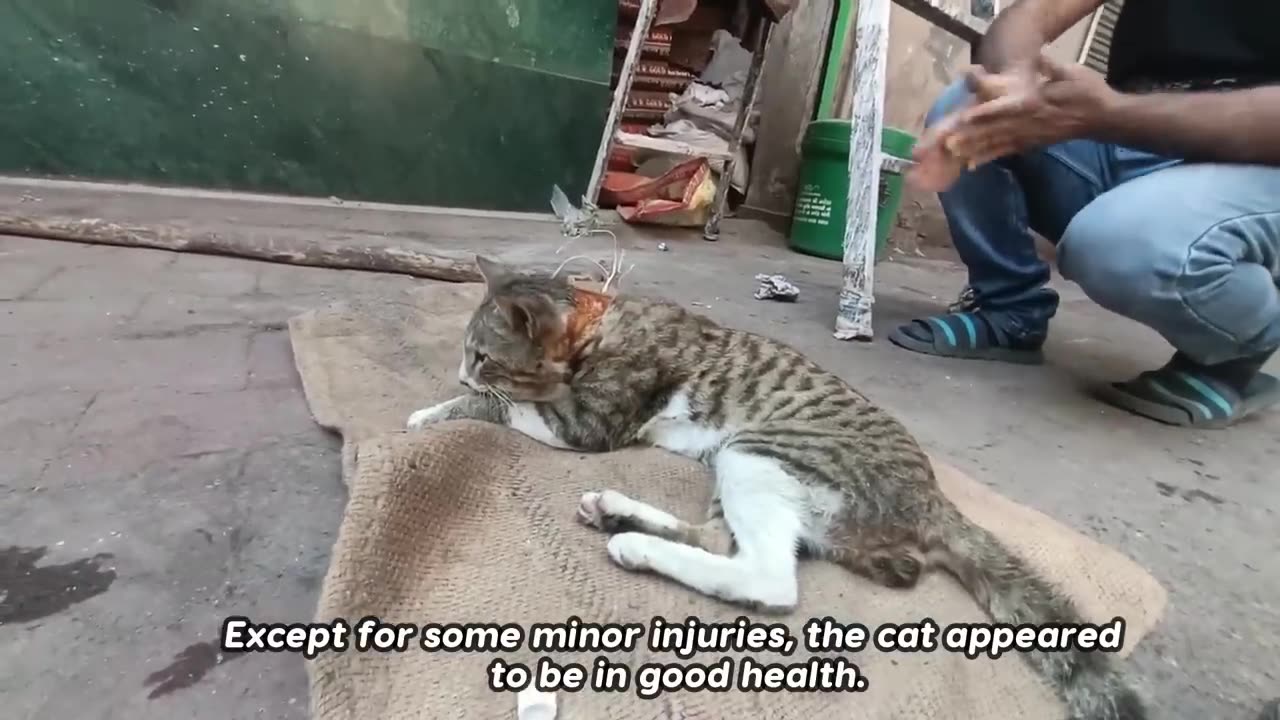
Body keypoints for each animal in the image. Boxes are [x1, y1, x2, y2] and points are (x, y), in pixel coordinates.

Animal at [412, 254, 1152, 712]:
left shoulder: (587, 424)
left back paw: (635, 544)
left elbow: (499, 407)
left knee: (768, 576)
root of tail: (935, 501)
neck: (600, 319)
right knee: (723, 538)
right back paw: (618, 512)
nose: (456, 371)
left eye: (480, 356)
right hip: (743, 466)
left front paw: (435, 410)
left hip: (759, 452)